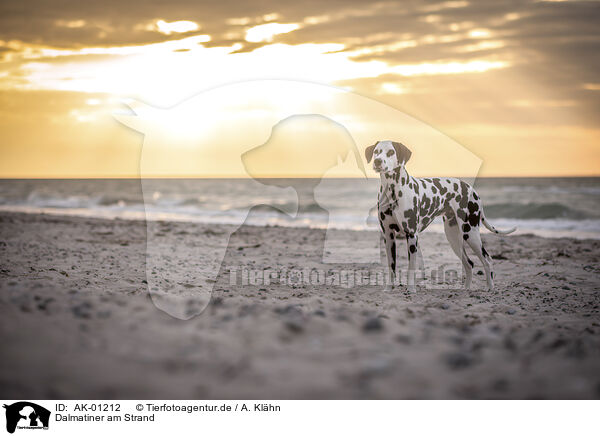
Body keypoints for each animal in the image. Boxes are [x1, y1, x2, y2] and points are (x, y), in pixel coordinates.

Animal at [366, 141, 516, 292]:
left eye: (391, 152)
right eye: (376, 152)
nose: (377, 161)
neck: (392, 191)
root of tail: (472, 190)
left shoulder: (412, 235)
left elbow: (411, 267)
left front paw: (411, 289)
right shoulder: (389, 236)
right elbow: (391, 267)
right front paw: (388, 288)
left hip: (470, 233)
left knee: (487, 260)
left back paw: (490, 288)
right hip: (453, 237)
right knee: (469, 263)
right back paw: (466, 289)